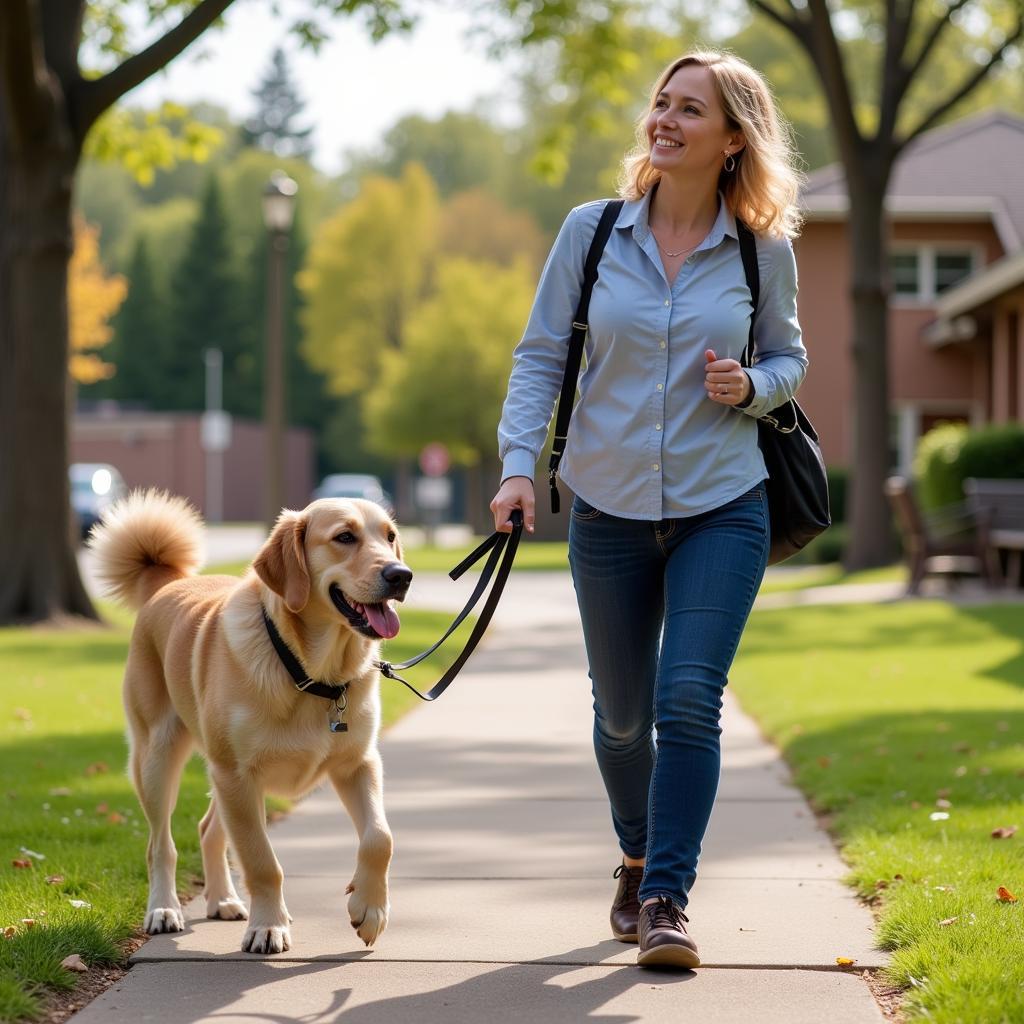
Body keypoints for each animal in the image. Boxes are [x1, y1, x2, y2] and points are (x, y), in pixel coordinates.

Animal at [90, 487, 411, 950]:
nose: (401, 575)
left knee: (208, 829)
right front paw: (268, 926)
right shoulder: (238, 775)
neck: (310, 672)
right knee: (160, 845)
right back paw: (164, 909)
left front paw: (369, 909)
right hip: (158, 759)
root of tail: (167, 585)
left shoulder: (358, 765)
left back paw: (223, 899)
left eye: (389, 537)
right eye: (345, 537)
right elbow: (262, 862)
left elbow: (379, 838)